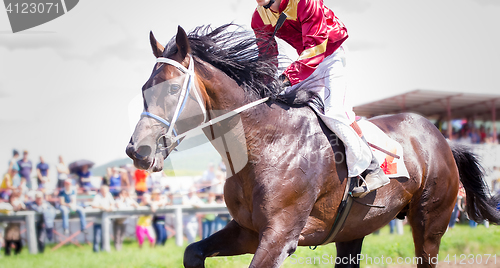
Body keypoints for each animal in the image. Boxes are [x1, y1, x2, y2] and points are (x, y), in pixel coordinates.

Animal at [126, 24, 500, 266]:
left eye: (173, 90)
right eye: (144, 88)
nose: (137, 151)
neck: (264, 143)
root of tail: (441, 138)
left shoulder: (280, 236)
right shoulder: (248, 230)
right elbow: (192, 252)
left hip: (430, 223)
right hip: (353, 229)